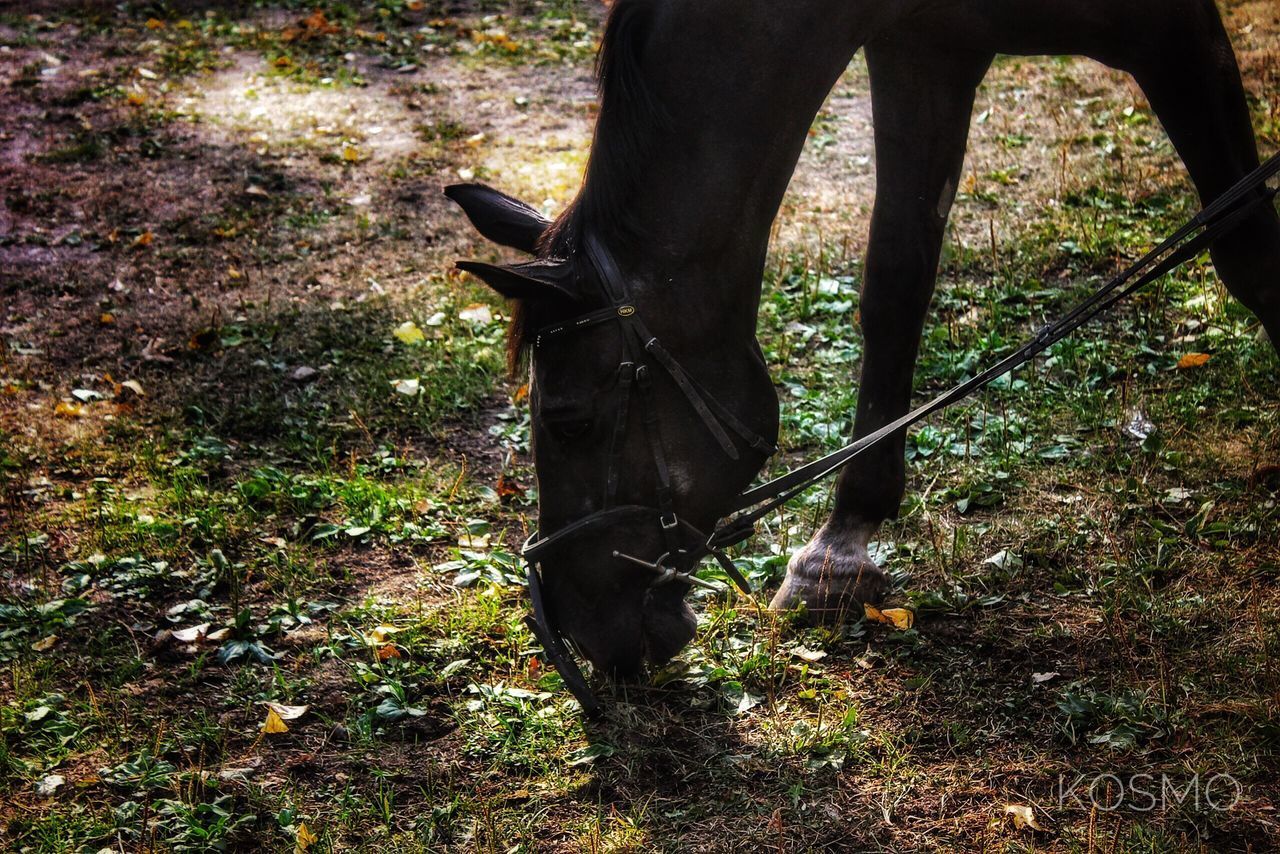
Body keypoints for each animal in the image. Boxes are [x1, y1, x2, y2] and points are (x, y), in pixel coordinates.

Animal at [445, 1, 1274, 681]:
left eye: (568, 421)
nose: (570, 626)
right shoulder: (926, 47)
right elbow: (895, 284)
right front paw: (838, 552)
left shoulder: (1173, 30)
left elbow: (1247, 251)